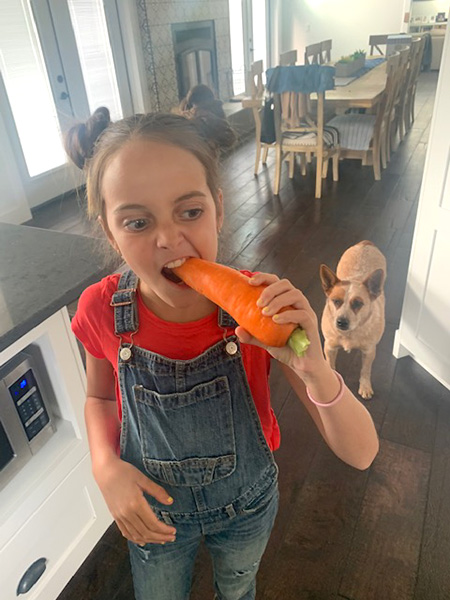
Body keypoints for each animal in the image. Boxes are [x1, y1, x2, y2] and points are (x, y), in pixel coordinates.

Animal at [320, 239, 386, 398]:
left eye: (357, 303)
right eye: (336, 301)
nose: (341, 322)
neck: (349, 334)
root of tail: (365, 243)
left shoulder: (369, 351)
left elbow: (365, 371)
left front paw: (365, 386)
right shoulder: (329, 347)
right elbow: (330, 365)